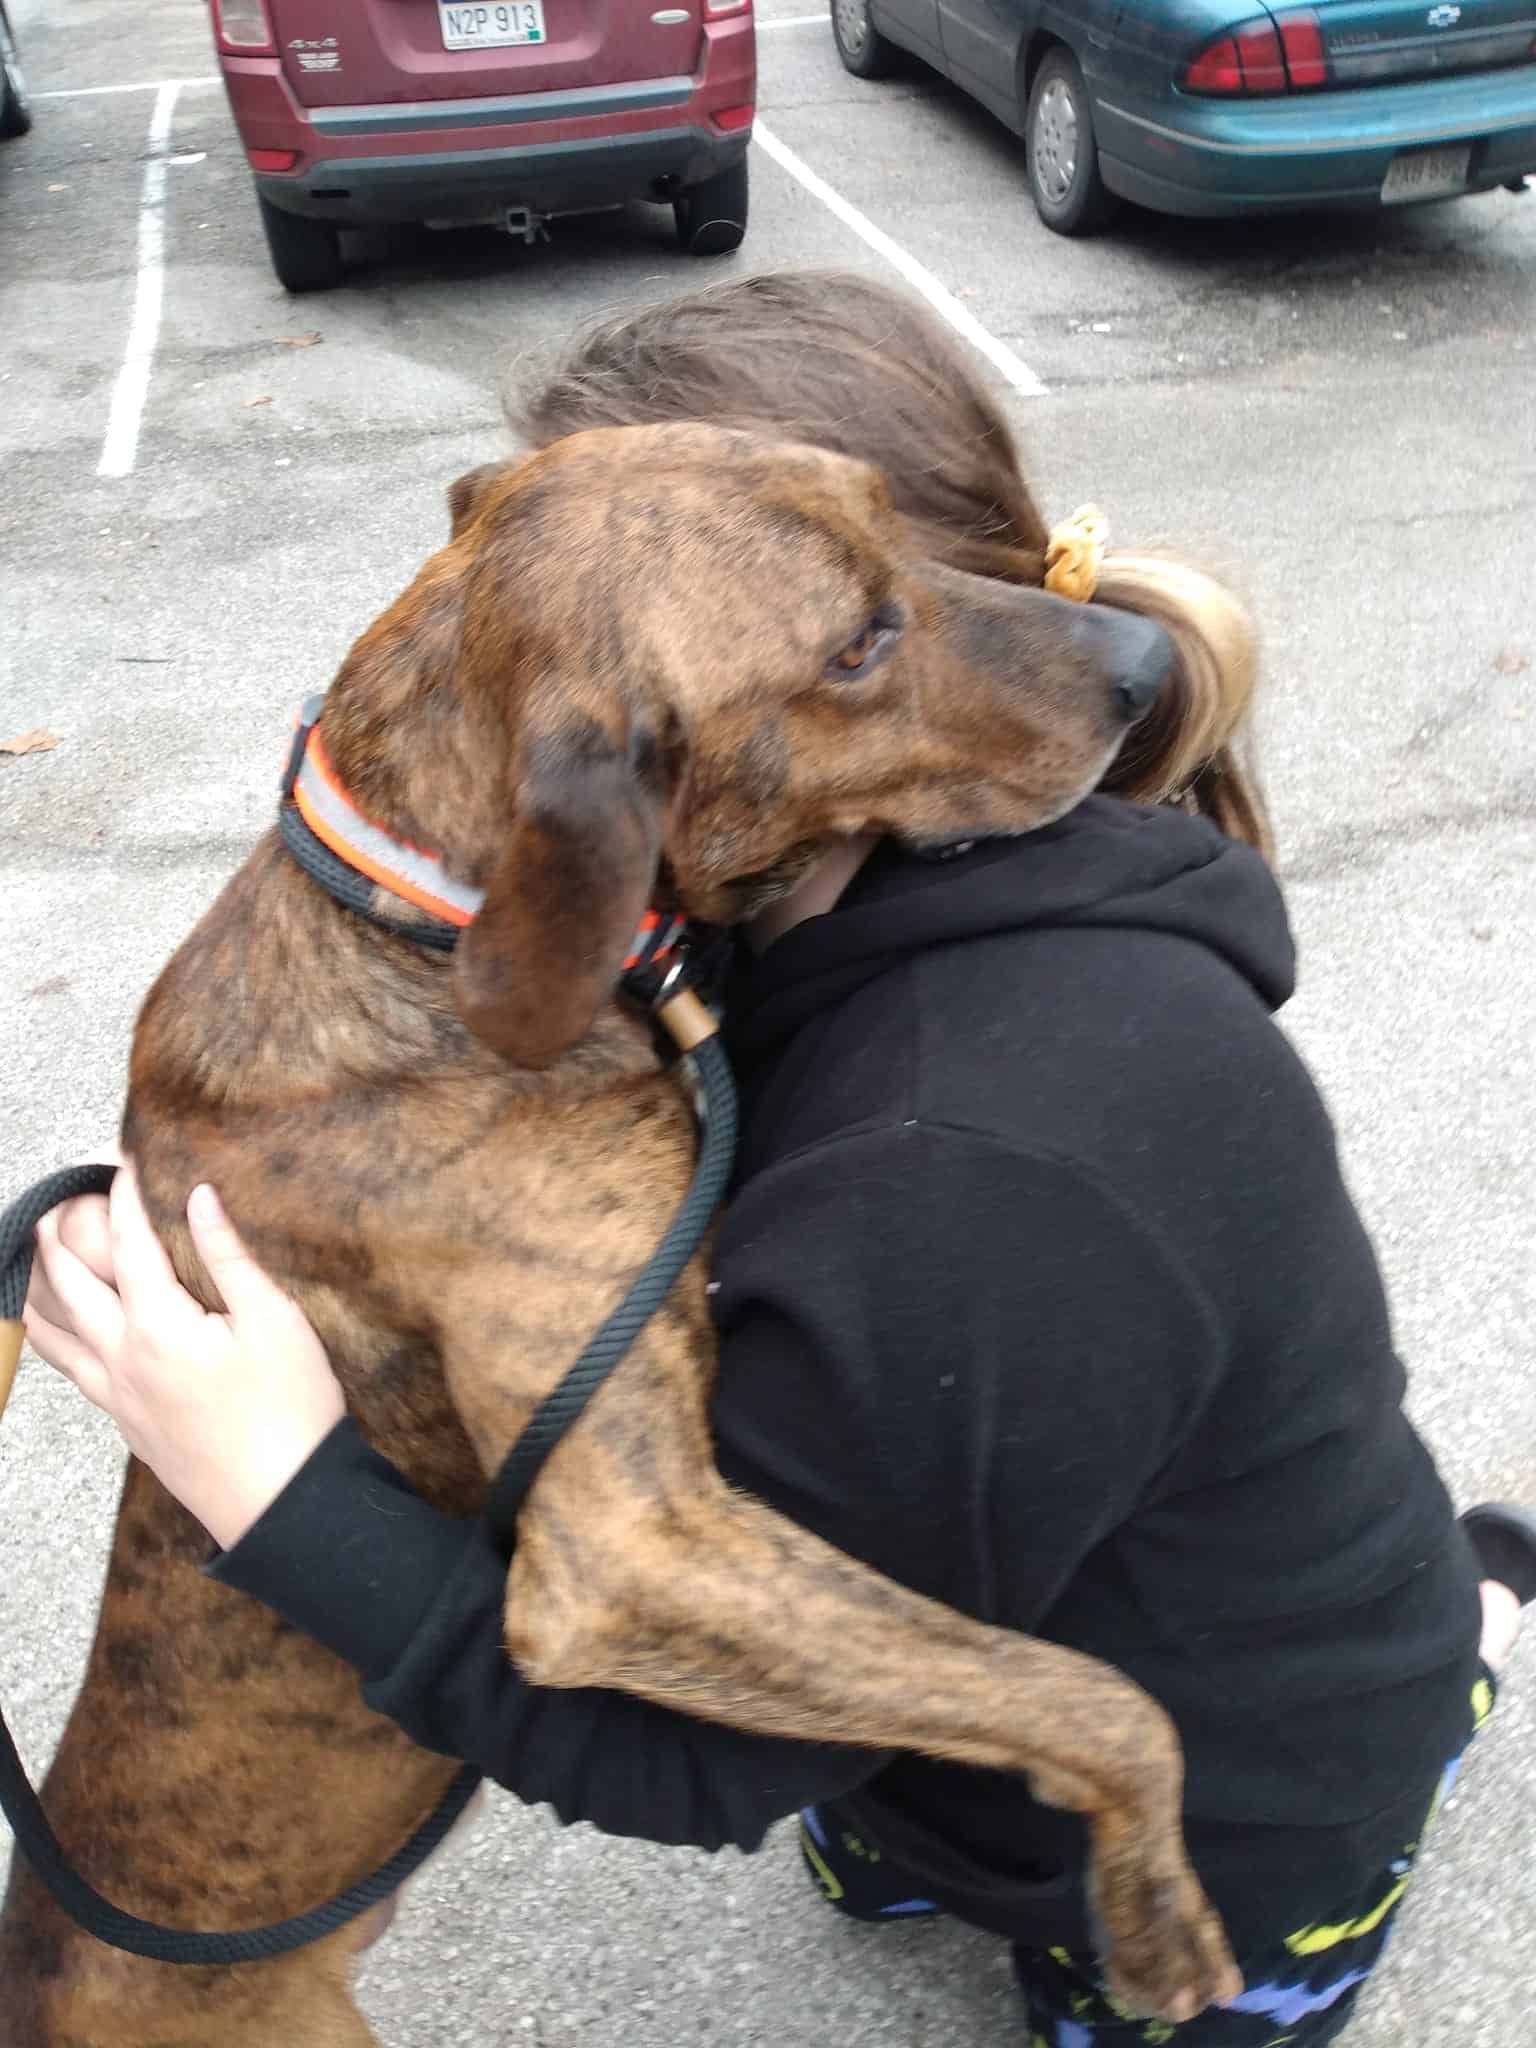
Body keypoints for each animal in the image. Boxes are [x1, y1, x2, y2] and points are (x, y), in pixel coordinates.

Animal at [0, 423, 1245, 2039]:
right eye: (857, 645)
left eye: (899, 530)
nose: (1145, 662)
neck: (421, 925)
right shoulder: (631, 1543)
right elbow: (1084, 1689)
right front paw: (1154, 1908)